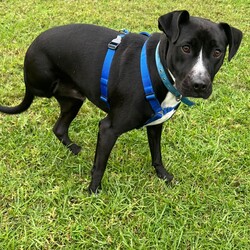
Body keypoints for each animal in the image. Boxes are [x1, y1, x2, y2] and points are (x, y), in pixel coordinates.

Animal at [0, 10, 242, 192]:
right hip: (44, 85)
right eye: (185, 47)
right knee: (36, 95)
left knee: (59, 128)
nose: (200, 85)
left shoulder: (156, 126)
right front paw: (93, 191)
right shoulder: (109, 129)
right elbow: (100, 165)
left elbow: (157, 155)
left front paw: (163, 175)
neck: (159, 69)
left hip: (73, 100)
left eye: (217, 52)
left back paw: (73, 148)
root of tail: (33, 44)